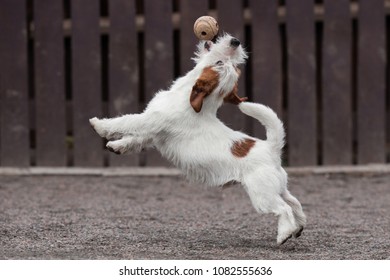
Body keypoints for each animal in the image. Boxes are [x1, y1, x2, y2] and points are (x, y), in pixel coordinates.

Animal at [90, 34, 306, 244]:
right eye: (223, 63)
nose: (235, 42)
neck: (190, 99)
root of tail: (271, 149)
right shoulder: (153, 133)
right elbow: (135, 139)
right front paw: (116, 146)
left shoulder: (149, 121)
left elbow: (126, 121)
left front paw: (100, 125)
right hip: (277, 188)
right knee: (294, 202)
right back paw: (299, 226)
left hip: (262, 196)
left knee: (284, 209)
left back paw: (284, 234)